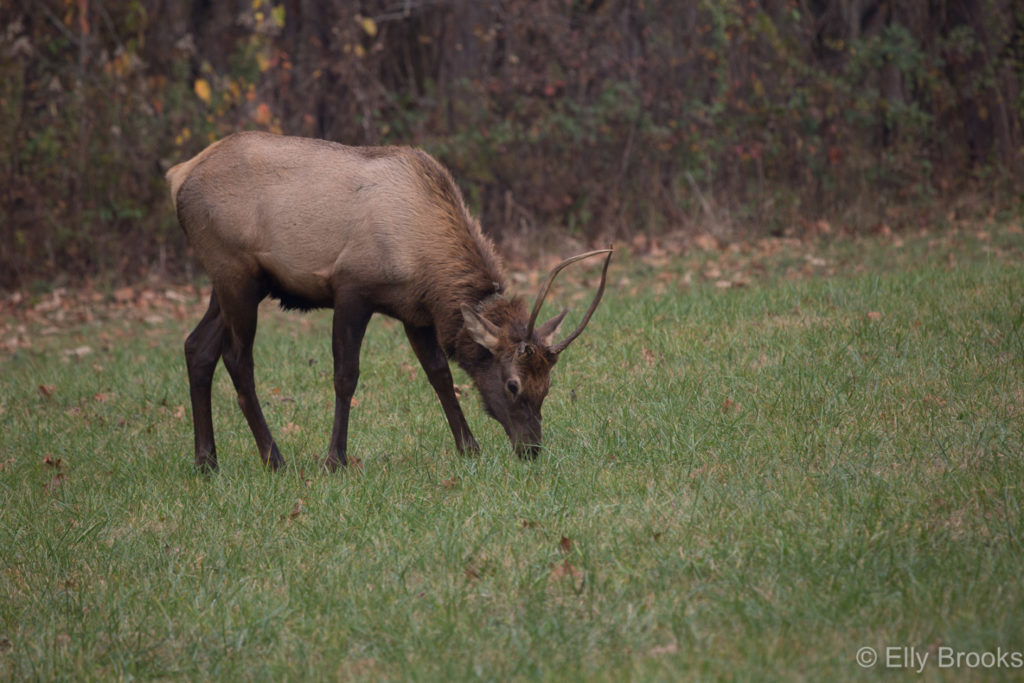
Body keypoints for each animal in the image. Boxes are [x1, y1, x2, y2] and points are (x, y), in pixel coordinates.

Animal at [164, 132, 610, 473]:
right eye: (513, 384)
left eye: (547, 385)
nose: (531, 449)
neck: (424, 260)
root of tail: (178, 176)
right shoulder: (352, 289)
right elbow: (346, 376)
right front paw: (335, 460)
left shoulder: (415, 312)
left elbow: (439, 375)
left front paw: (469, 448)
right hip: (234, 273)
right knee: (238, 360)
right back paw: (274, 459)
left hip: (235, 283)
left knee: (197, 347)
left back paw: (206, 461)